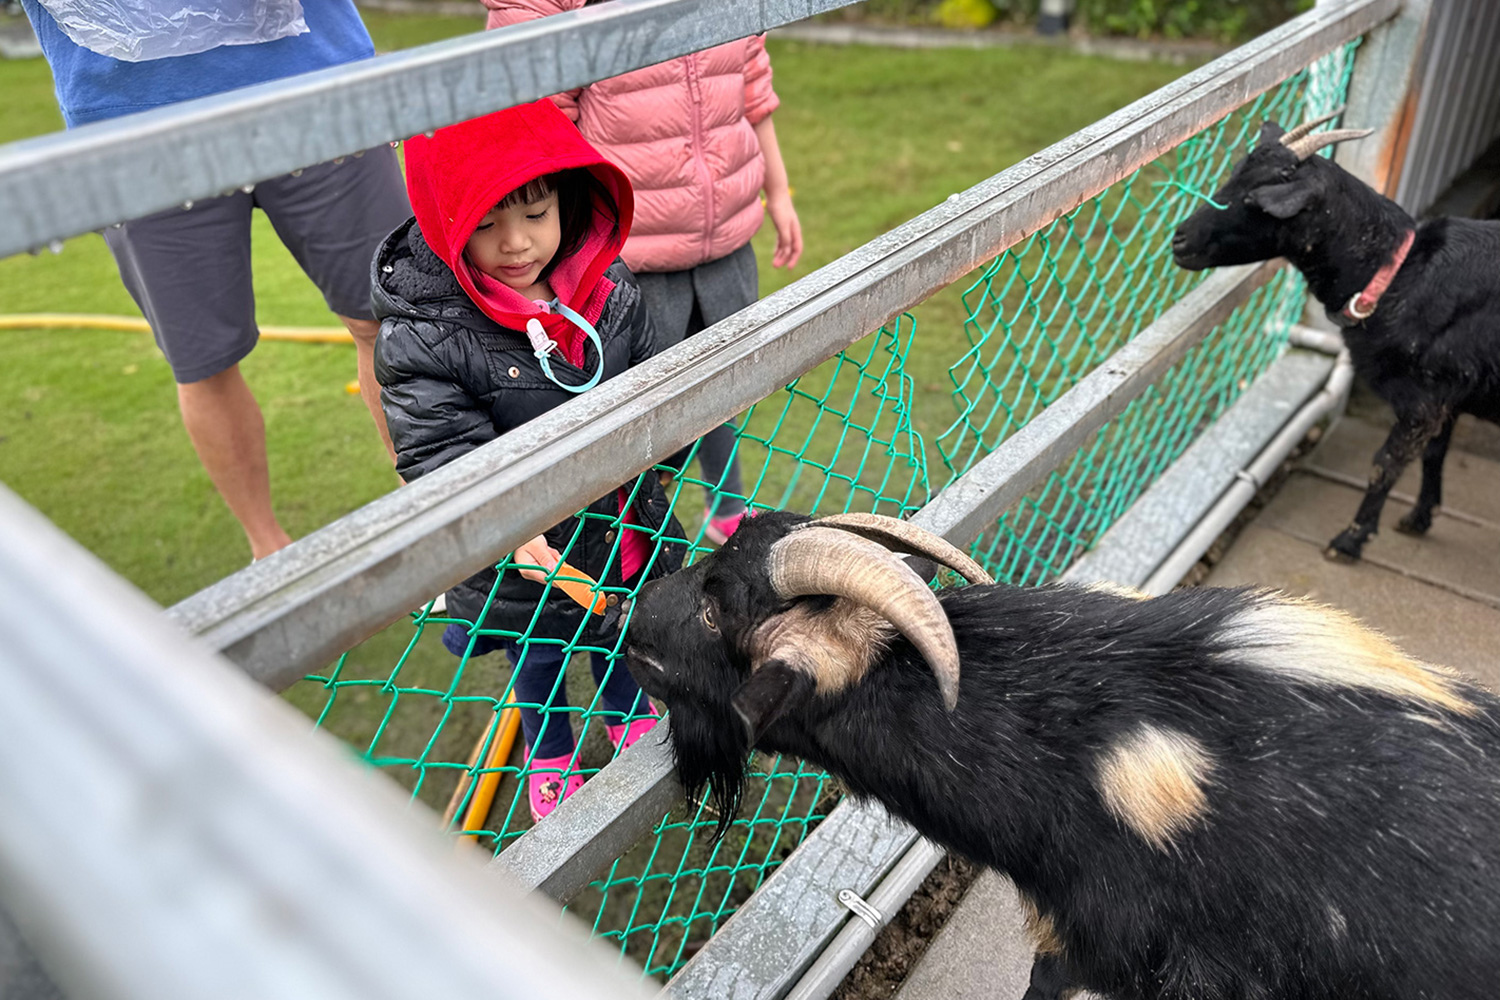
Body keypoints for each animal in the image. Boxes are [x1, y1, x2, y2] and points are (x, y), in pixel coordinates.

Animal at [1170, 115, 1500, 563]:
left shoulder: (1424, 401)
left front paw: (1349, 541)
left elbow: (1385, 464)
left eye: (1257, 200)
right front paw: (1418, 518)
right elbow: (1435, 454)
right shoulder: (1449, 395)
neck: (1399, 274)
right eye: (1235, 174)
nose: (1179, 239)